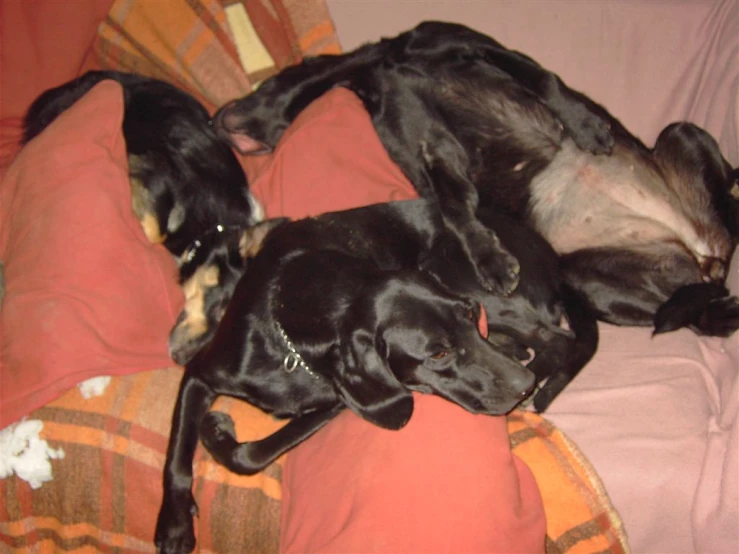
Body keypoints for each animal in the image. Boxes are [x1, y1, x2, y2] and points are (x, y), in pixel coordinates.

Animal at [153, 197, 600, 552]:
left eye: (472, 317)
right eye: (438, 352)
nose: (523, 388)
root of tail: (554, 257)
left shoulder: (337, 402)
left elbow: (252, 453)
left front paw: (217, 432)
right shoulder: (202, 374)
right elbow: (178, 455)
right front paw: (174, 524)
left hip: (468, 275)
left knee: (557, 342)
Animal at [214, 20, 739, 336]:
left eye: (265, 82)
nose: (220, 118)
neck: (385, 65)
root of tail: (701, 252)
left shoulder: (479, 46)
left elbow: (548, 81)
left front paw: (585, 124)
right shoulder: (433, 148)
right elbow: (453, 206)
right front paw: (489, 258)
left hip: (682, 132)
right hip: (585, 274)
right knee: (691, 311)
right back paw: (719, 310)